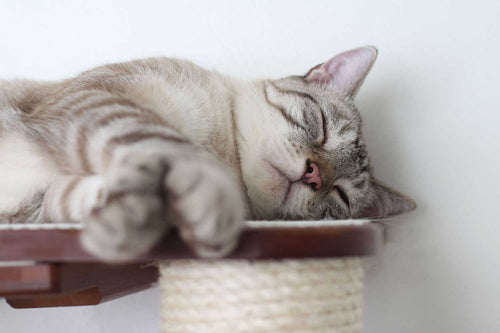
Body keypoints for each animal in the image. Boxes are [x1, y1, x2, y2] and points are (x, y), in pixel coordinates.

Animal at [0, 46, 414, 260]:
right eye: (322, 128)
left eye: (339, 195)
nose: (313, 174)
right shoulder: (99, 101)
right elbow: (164, 146)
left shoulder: (38, 208)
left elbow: (64, 199)